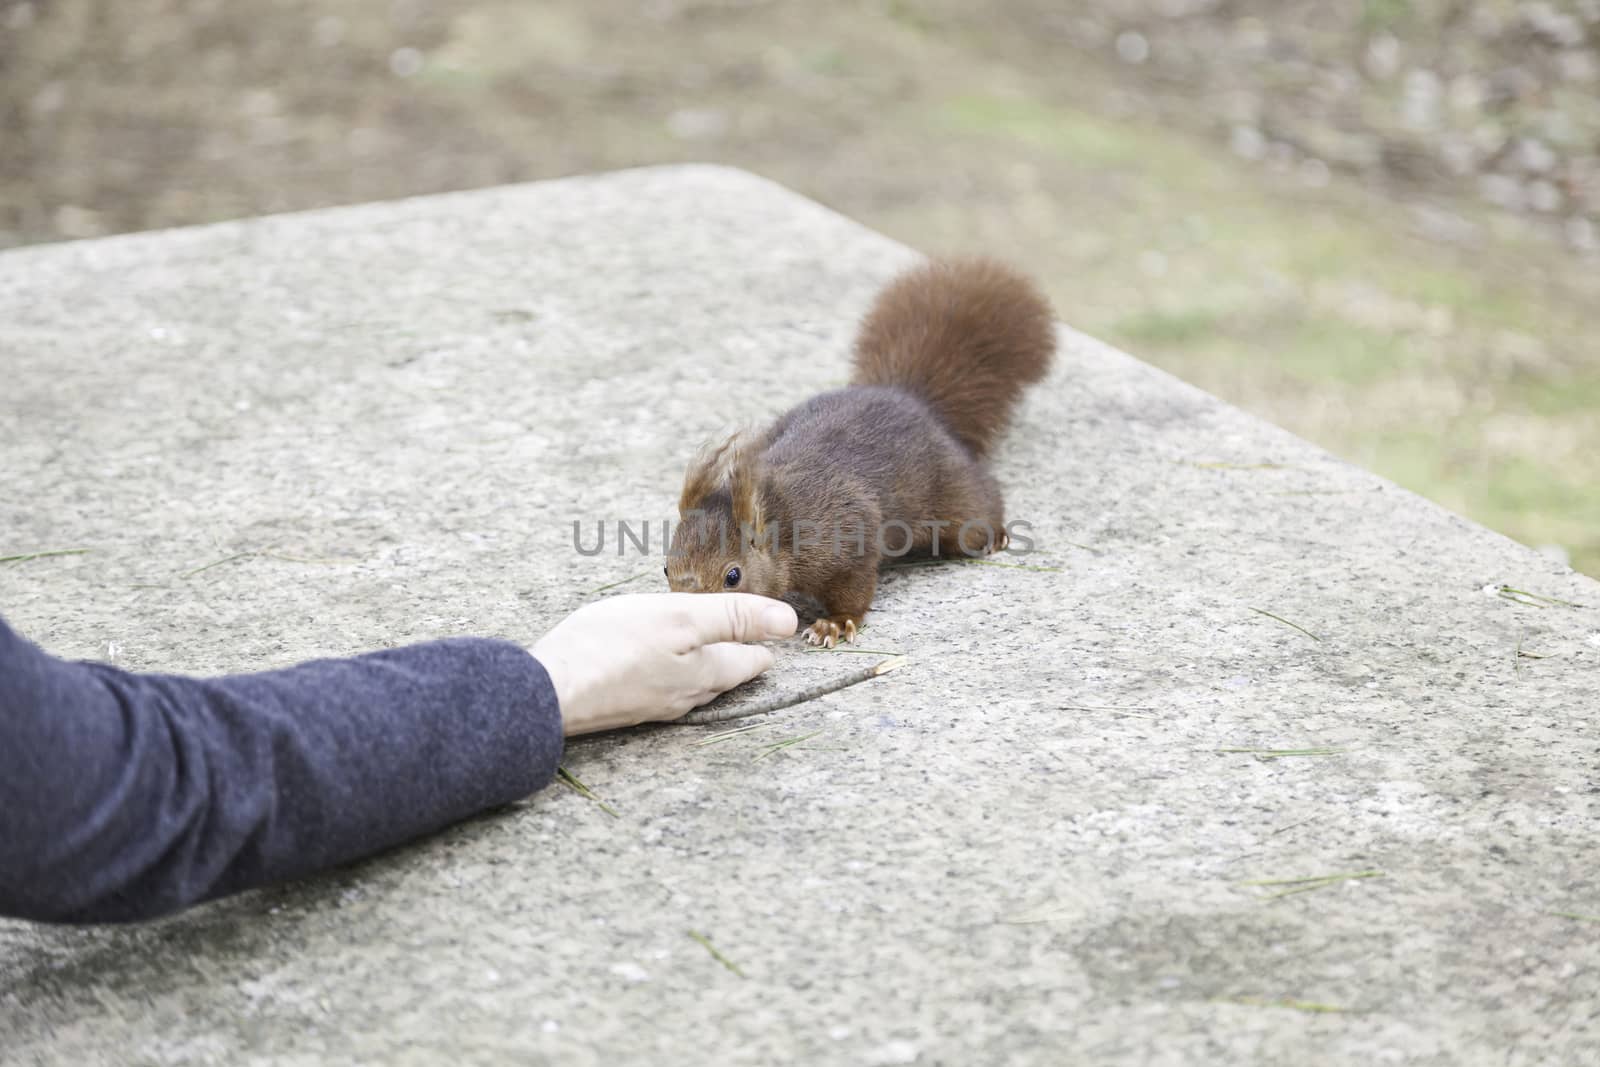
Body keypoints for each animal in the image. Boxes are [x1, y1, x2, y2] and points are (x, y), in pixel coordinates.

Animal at [656, 254, 1056, 646]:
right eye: (666, 567)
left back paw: (996, 534)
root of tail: (909, 398)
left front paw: (833, 624)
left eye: (733, 576)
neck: (780, 525)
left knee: (980, 504)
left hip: (955, 499)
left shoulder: (848, 540)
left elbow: (854, 589)